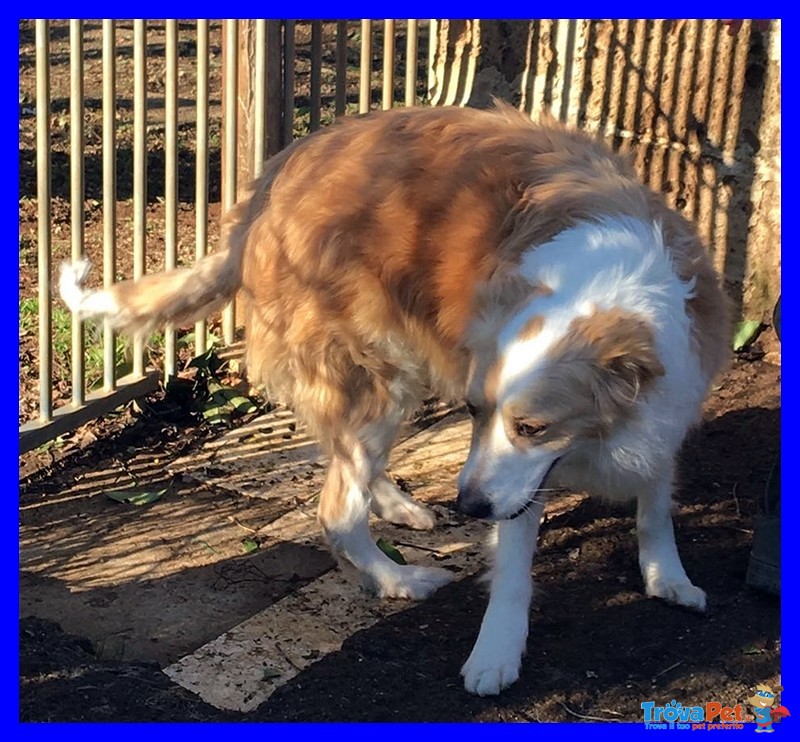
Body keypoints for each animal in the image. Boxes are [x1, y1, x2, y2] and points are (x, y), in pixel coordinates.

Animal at [59, 103, 728, 696]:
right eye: (473, 412)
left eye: (532, 427)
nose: (469, 508)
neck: (613, 284)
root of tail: (279, 174)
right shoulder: (515, 478)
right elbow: (514, 565)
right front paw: (496, 653)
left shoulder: (663, 406)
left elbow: (655, 502)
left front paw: (667, 576)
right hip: (379, 377)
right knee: (337, 508)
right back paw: (397, 579)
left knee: (344, 459)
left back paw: (398, 505)